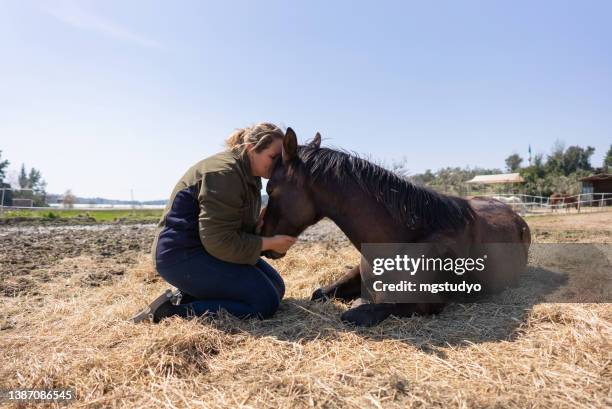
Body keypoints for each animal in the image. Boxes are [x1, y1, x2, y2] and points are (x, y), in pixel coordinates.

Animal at [260, 129, 532, 326]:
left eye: (270, 188)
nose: (262, 236)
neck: (403, 240)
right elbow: (319, 293)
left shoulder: (424, 302)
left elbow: (354, 313)